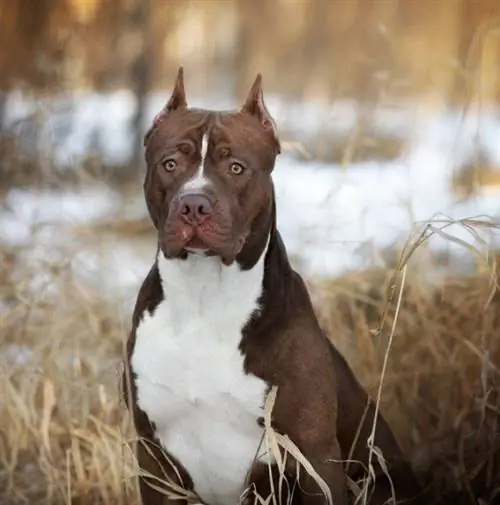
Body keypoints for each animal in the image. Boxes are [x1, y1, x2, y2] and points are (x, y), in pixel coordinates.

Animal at [123, 67, 424, 504]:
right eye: (170, 163)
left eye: (236, 168)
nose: (194, 204)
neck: (204, 296)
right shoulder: (152, 457)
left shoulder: (313, 458)